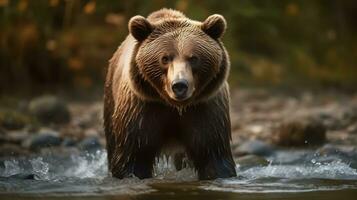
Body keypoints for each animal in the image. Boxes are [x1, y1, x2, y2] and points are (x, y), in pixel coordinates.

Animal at [103, 8, 236, 180]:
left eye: (193, 58)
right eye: (165, 58)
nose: (179, 85)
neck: (174, 106)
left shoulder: (205, 108)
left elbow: (212, 152)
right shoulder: (141, 108)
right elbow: (133, 155)